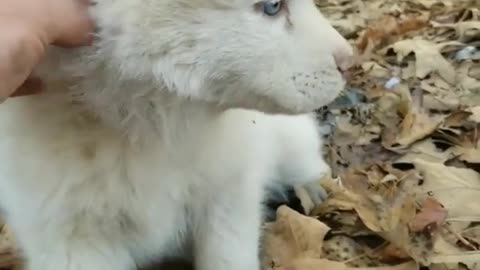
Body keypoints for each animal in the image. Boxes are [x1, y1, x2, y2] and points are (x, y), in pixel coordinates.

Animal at [0, 0, 352, 270]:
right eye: (272, 6)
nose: (348, 61)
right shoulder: (71, 236)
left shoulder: (227, 198)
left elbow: (227, 257)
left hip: (288, 142)